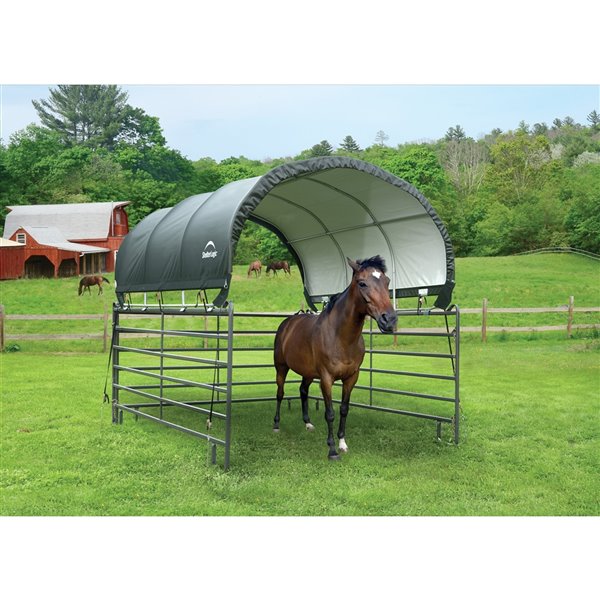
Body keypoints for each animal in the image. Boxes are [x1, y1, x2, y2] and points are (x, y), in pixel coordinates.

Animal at [274, 254, 396, 460]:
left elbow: (344, 410)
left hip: (307, 373)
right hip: (281, 368)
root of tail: (288, 322)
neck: (341, 338)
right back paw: (276, 425)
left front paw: (342, 444)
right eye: (362, 283)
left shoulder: (351, 378)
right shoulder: (326, 379)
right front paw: (332, 450)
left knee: (303, 390)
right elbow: (330, 413)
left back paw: (308, 423)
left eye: (387, 281)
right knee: (280, 393)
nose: (389, 320)